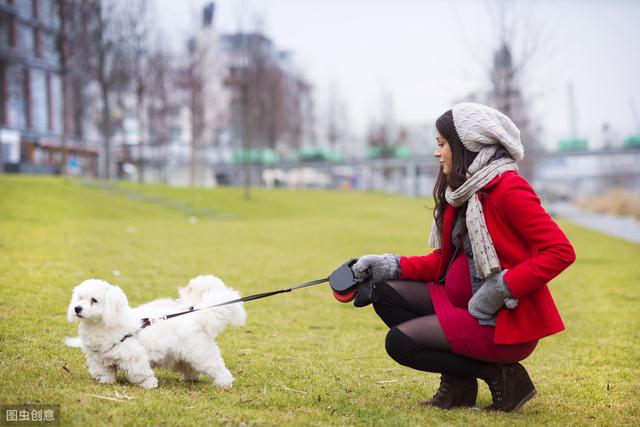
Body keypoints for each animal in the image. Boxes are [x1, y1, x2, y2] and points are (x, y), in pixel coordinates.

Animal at [65, 276, 245, 390]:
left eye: (94, 300)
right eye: (79, 298)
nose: (77, 308)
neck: (105, 324)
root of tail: (195, 315)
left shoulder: (134, 357)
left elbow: (139, 373)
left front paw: (148, 384)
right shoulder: (98, 358)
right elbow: (106, 371)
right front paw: (106, 381)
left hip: (201, 354)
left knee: (217, 368)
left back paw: (224, 383)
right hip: (181, 355)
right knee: (190, 368)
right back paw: (189, 379)